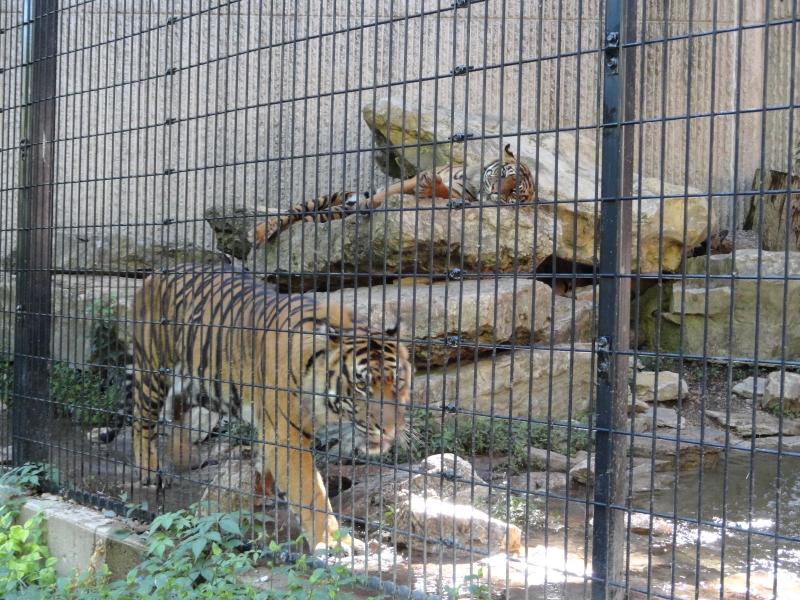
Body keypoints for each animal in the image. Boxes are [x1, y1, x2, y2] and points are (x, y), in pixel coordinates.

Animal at [128, 263, 412, 553]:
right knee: (141, 419)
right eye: (361, 385)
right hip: (152, 371)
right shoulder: (288, 436)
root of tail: (157, 273)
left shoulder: (273, 430)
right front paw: (334, 541)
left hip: (200, 383)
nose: (390, 430)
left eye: (399, 381)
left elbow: (263, 461)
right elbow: (312, 494)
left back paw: (180, 459)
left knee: (177, 410)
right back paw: (149, 470)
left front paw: (260, 495)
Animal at [250, 144, 536, 248]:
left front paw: (433, 188)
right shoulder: (407, 181)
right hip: (328, 198)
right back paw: (260, 232)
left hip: (329, 213)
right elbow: (388, 193)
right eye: (503, 174)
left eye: (514, 193)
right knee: (293, 213)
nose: (497, 191)